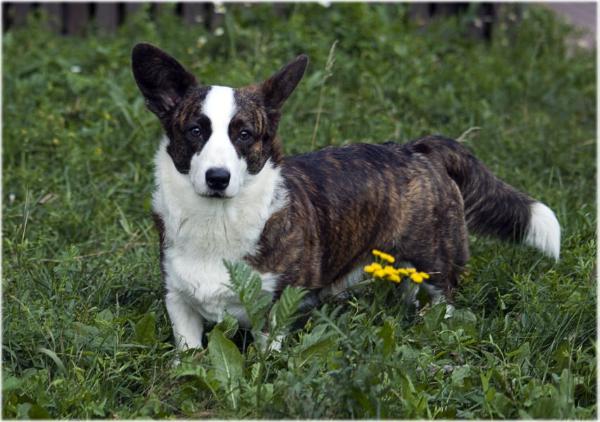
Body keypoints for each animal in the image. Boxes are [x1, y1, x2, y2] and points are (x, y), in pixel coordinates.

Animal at [132, 44, 564, 352]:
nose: (217, 178)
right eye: (194, 130)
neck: (218, 219)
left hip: (437, 262)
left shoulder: (277, 308)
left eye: (244, 134)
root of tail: (418, 148)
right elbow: (189, 353)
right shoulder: (179, 302)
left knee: (443, 299)